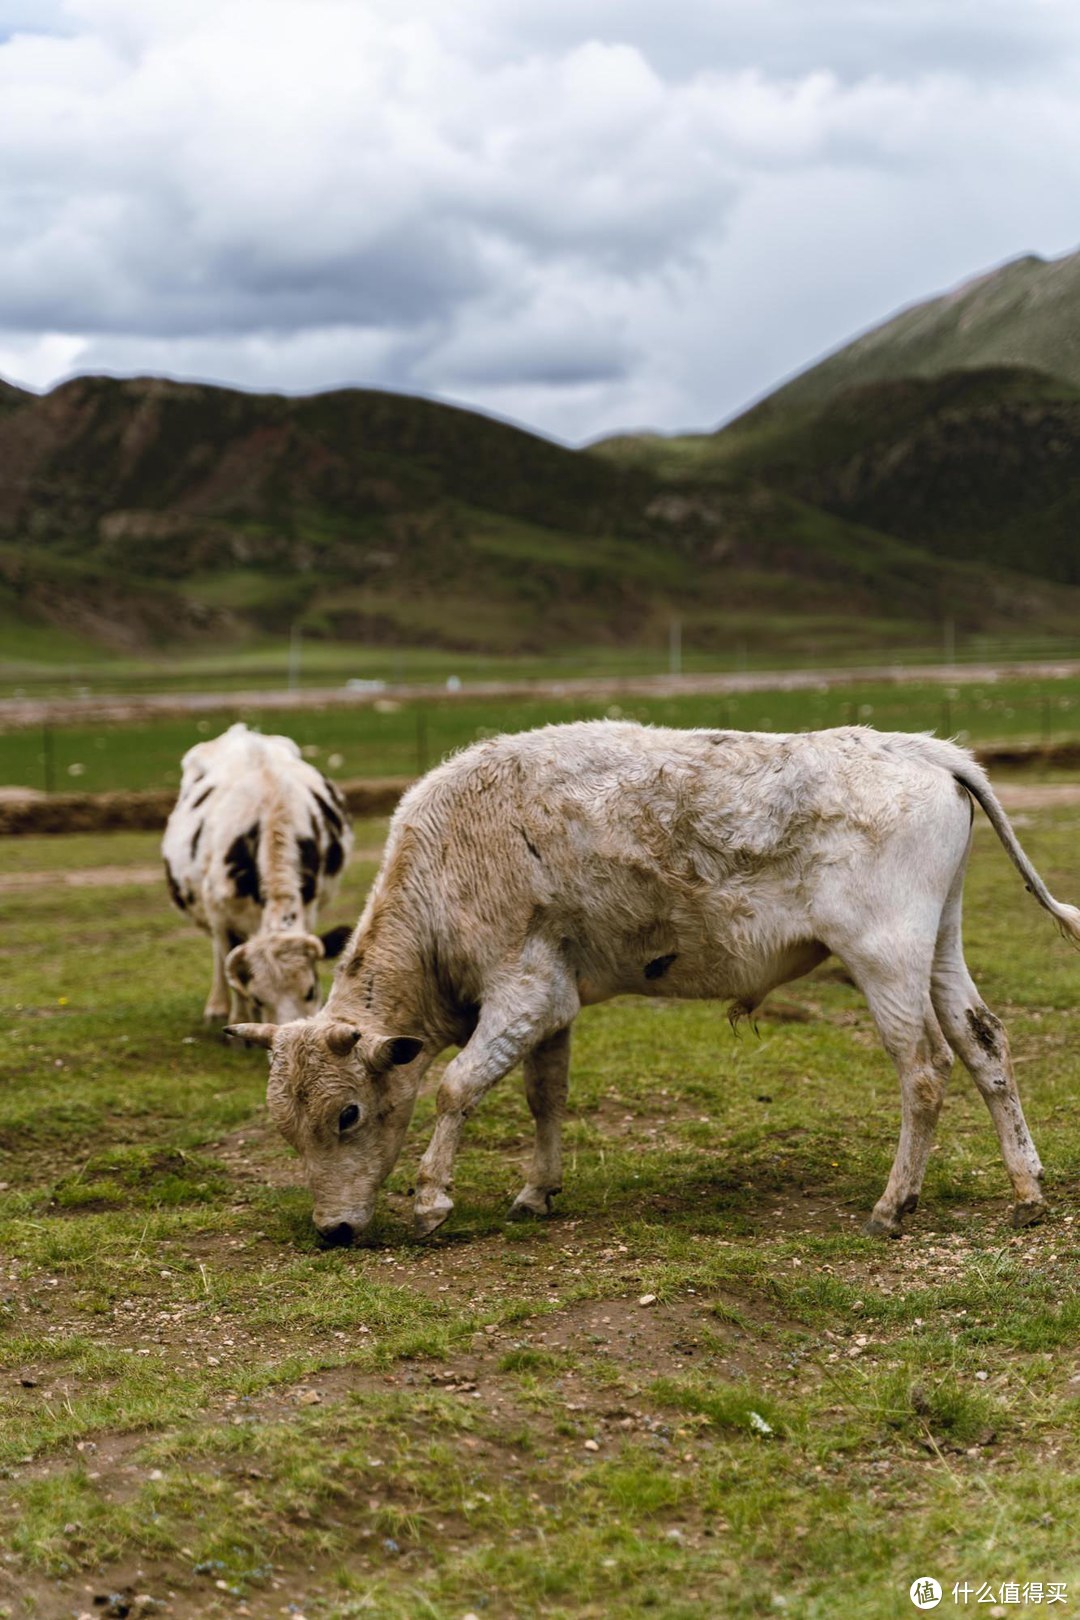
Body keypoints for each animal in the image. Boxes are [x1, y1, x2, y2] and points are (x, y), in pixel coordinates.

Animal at [162, 725, 354, 1023]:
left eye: (311, 991)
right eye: (258, 998)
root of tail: (241, 731)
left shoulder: (308, 907)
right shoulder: (220, 916)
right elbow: (227, 962)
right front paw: (238, 1020)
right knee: (218, 954)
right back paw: (217, 1007)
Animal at [223, 722, 1075, 1237]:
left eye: (348, 1116)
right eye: (286, 1128)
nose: (332, 1232)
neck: (449, 868)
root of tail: (924, 751)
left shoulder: (524, 992)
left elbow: (457, 1087)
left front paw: (433, 1197)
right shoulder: (554, 1004)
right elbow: (545, 1096)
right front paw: (537, 1191)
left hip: (885, 957)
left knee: (924, 1071)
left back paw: (894, 1204)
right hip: (939, 947)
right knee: (984, 1045)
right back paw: (1027, 1189)